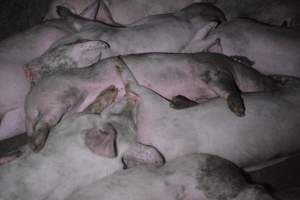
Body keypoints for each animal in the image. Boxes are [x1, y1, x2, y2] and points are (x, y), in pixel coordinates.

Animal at [24, 52, 280, 151]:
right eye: (263, 75)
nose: (279, 82)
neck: (234, 68)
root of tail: (29, 105)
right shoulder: (215, 71)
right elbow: (228, 88)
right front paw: (239, 111)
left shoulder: (203, 94)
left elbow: (195, 102)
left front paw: (176, 102)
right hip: (60, 97)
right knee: (47, 121)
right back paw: (38, 145)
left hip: (69, 107)